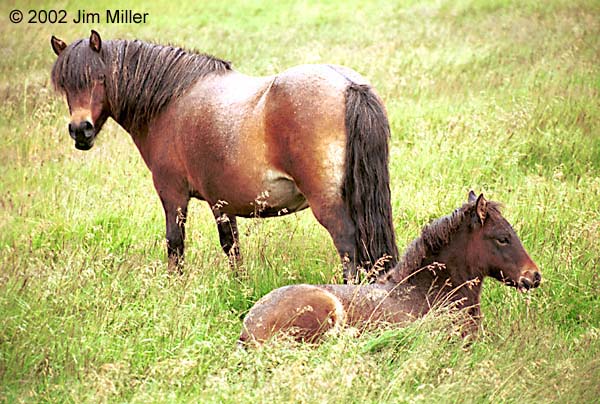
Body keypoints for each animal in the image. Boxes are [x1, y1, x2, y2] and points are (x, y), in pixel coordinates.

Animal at [50, 30, 398, 280]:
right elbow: (232, 248)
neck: (172, 101)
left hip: (327, 206)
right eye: (66, 85)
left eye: (99, 79)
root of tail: (348, 85)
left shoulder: (172, 194)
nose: (80, 130)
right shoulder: (222, 203)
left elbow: (175, 245)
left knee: (348, 245)